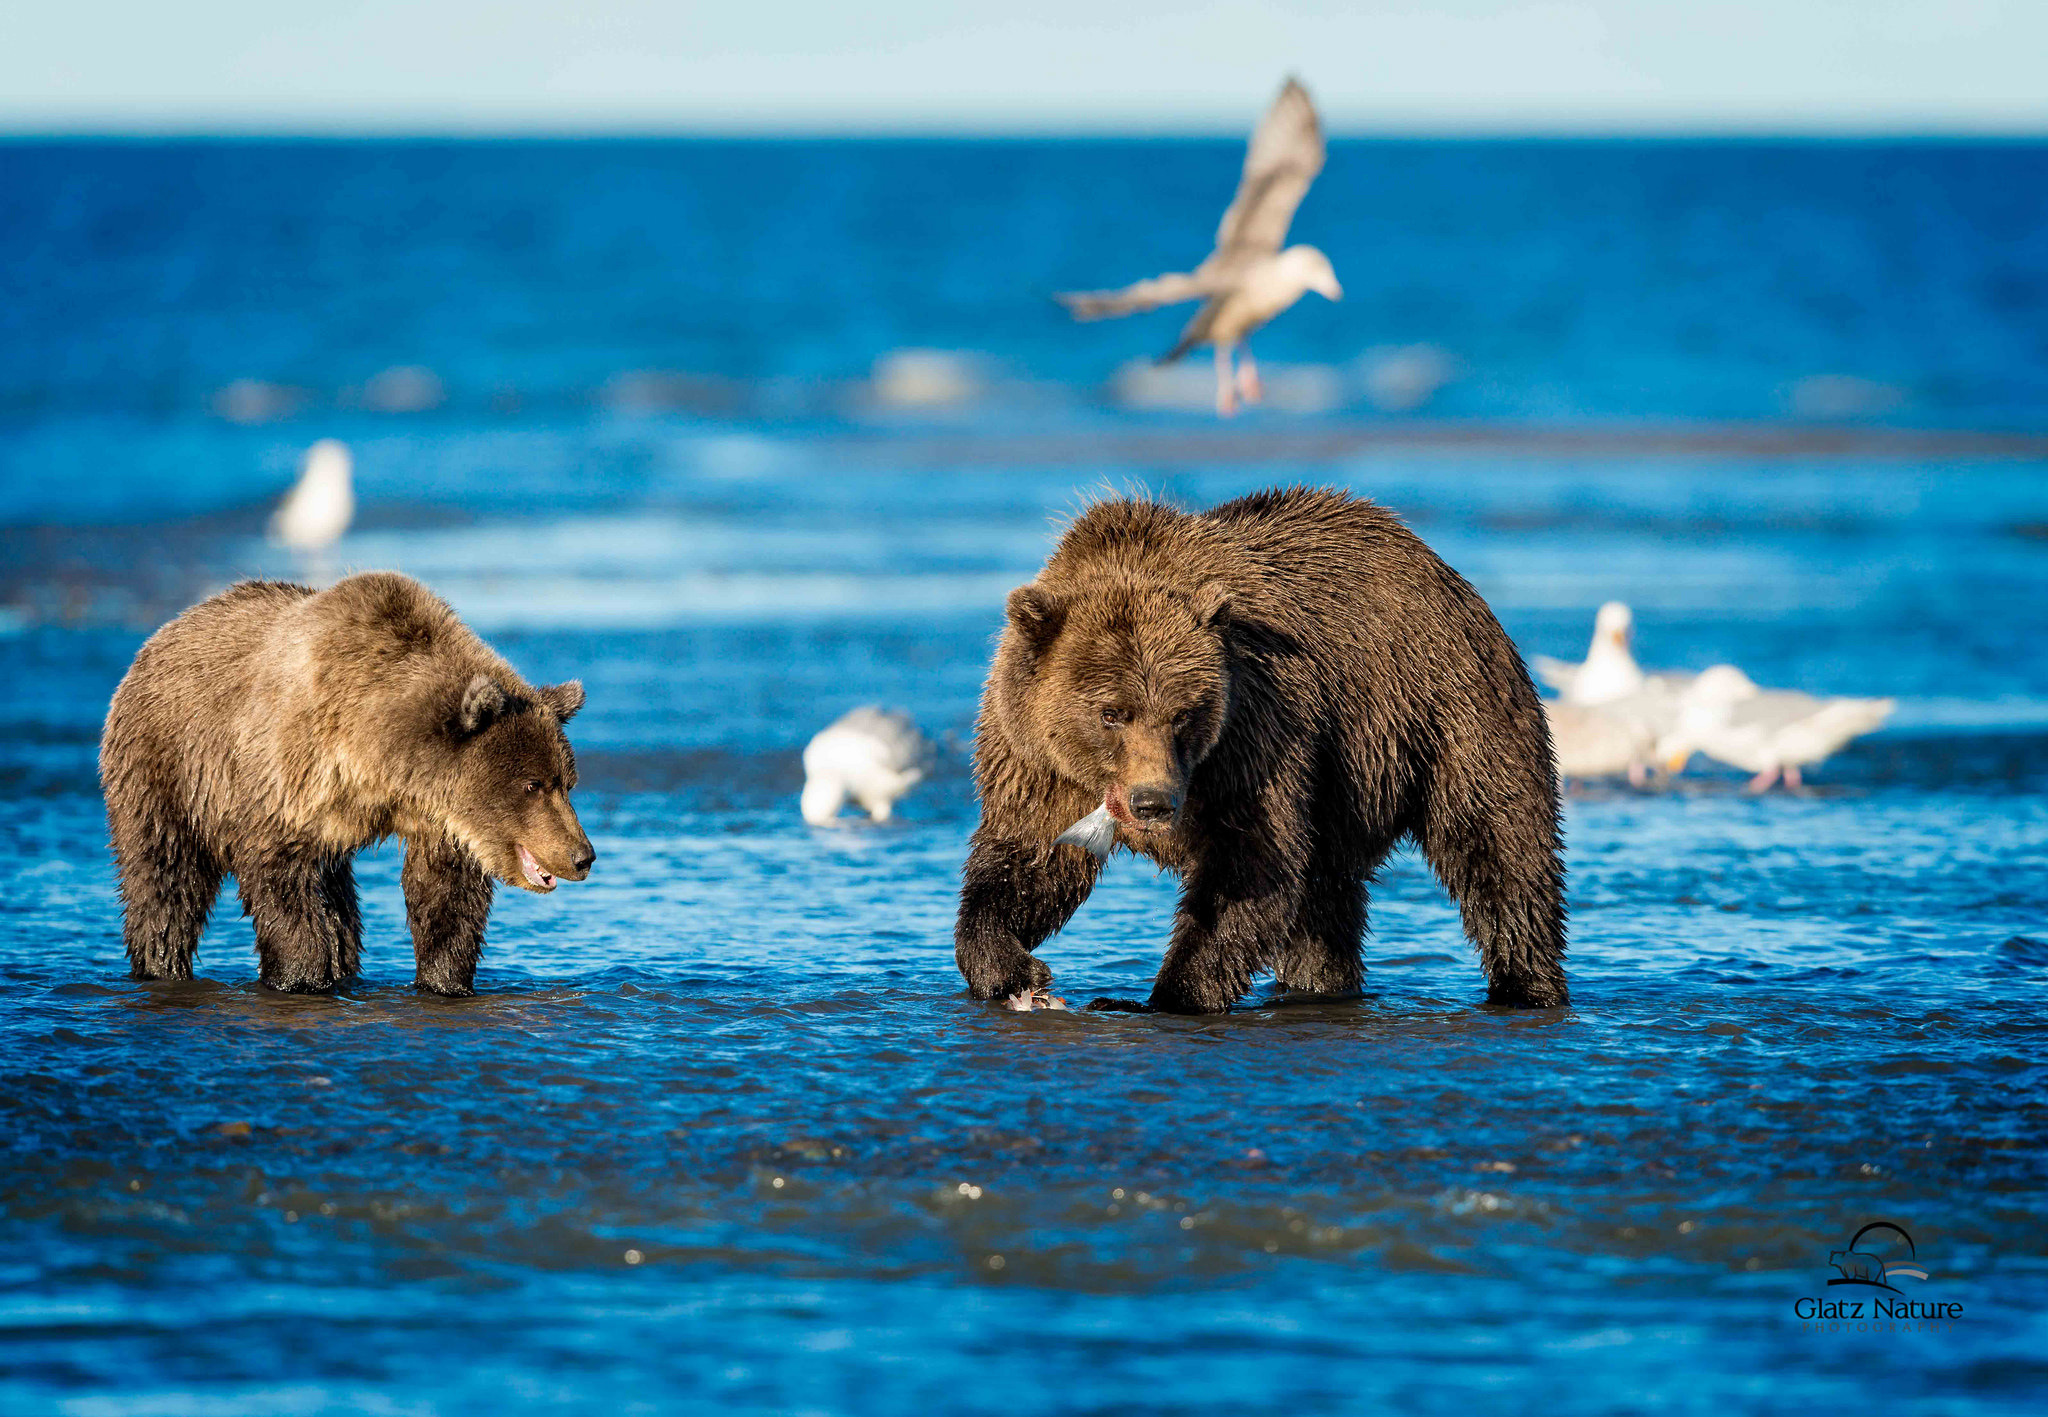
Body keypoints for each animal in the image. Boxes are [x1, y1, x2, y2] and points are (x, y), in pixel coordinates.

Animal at [100, 569, 598, 991]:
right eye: (532, 785)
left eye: (567, 781)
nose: (583, 856)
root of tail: (160, 636)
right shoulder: (285, 780)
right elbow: (280, 884)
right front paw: (300, 975)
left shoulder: (437, 819)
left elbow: (445, 899)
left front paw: (445, 980)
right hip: (167, 766)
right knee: (166, 879)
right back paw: (161, 964)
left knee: (339, 904)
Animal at [954, 489, 1564, 1019]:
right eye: (1111, 712)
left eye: (1183, 713)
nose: (1153, 803)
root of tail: (1442, 571)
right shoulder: (1039, 764)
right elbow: (1029, 863)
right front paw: (1016, 968)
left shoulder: (1254, 737)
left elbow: (1250, 868)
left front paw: (1158, 996)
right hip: (1345, 789)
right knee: (1324, 903)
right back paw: (1321, 984)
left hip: (1445, 713)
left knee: (1498, 846)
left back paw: (1526, 984)